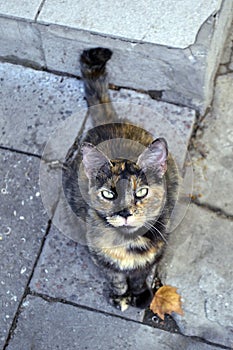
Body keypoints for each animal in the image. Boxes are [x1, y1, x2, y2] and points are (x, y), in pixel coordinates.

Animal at [62, 47, 179, 310]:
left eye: (141, 192)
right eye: (108, 194)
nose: (125, 212)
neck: (128, 244)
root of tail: (109, 122)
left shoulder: (156, 251)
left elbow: (139, 275)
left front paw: (141, 295)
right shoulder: (101, 258)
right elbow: (116, 277)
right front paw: (120, 296)